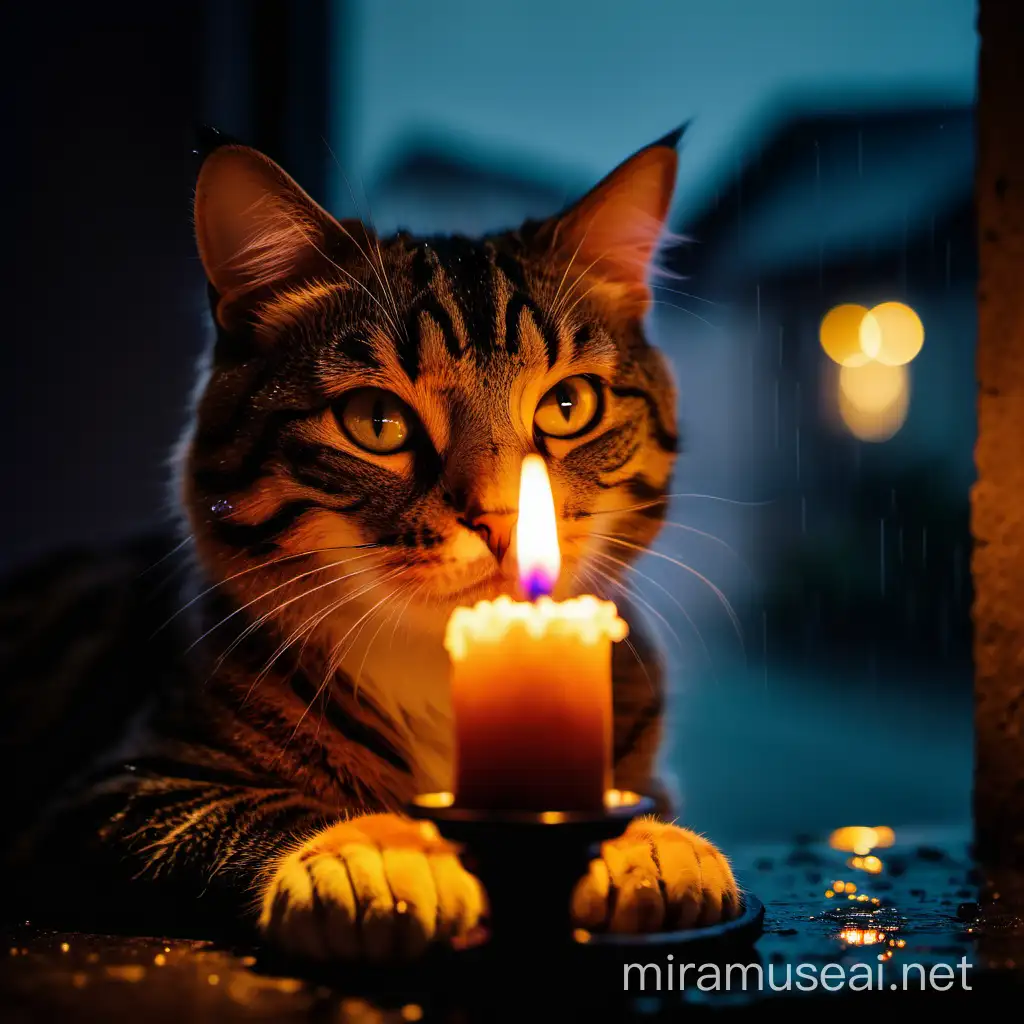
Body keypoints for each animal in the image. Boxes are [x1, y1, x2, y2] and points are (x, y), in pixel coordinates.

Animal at [0, 125, 737, 958]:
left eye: (569, 405)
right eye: (375, 423)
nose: (503, 520)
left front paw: (651, 846)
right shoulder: (106, 791)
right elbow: (252, 808)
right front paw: (374, 853)